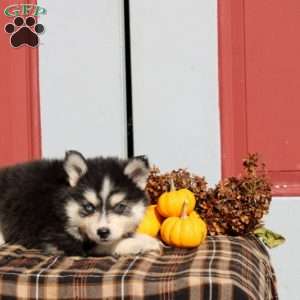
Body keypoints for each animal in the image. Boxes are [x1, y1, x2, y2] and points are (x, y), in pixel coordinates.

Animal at [0, 151, 161, 256]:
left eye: (120, 207)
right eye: (88, 207)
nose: (103, 232)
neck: (63, 204)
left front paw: (146, 239)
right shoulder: (58, 236)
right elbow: (105, 244)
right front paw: (141, 243)